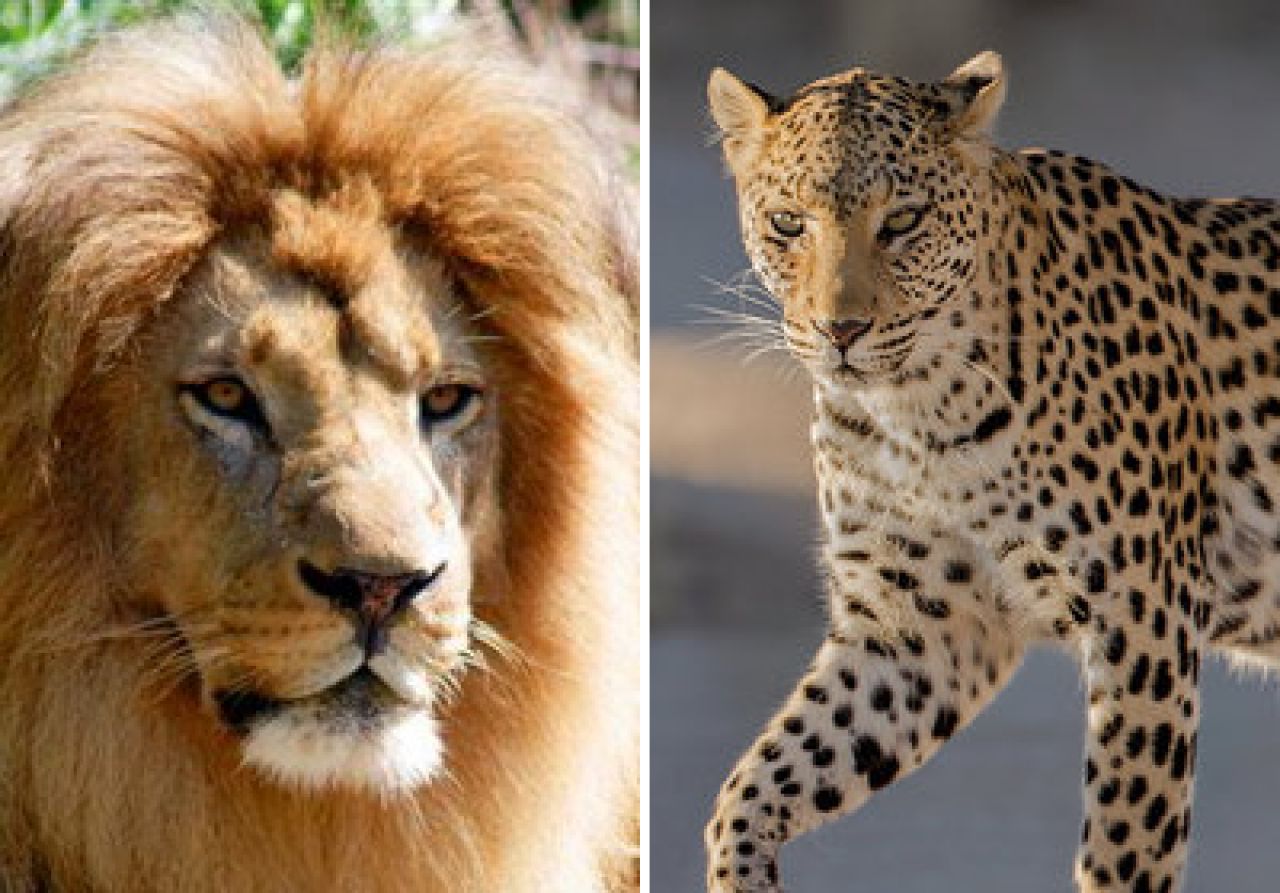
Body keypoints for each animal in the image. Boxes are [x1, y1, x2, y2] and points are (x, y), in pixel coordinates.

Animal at [704, 50, 1280, 893]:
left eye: (902, 221)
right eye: (788, 224)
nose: (842, 330)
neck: (918, 417)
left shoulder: (1142, 620)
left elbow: (1124, 842)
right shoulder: (917, 628)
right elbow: (753, 786)